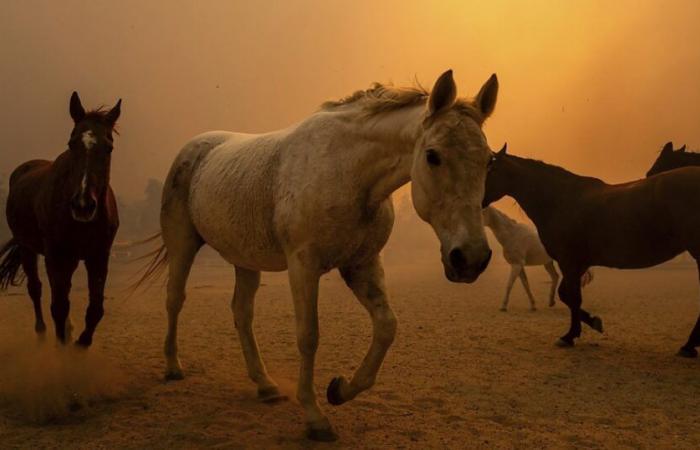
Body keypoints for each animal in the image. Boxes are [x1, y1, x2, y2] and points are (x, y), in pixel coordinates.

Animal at [0, 90, 121, 344]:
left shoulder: (99, 256)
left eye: (108, 148)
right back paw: (41, 330)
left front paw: (81, 342)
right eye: (72, 144)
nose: (83, 205)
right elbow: (58, 305)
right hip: (28, 248)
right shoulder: (55, 256)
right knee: (36, 289)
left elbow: (95, 308)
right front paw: (63, 347)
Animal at [137, 69, 498, 440]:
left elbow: (386, 327)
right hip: (183, 245)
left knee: (241, 313)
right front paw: (315, 417)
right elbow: (308, 336)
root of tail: (195, 148)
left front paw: (339, 389)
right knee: (175, 299)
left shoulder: (362, 264)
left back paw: (265, 385)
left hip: (245, 260)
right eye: (432, 155)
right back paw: (173, 367)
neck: (347, 172)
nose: (471, 257)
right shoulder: (303, 266)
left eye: (489, 160)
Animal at [484, 143, 700, 356]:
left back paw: (689, 345)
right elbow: (566, 295)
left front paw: (570, 335)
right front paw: (592, 322)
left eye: (492, 170)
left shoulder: (569, 260)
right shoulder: (578, 263)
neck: (561, 200)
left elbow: (573, 297)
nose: (479, 200)